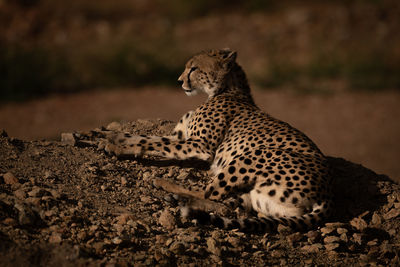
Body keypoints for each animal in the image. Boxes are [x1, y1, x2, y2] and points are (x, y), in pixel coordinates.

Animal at [104, 49, 332, 232]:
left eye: (193, 68)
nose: (179, 81)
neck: (224, 90)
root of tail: (326, 195)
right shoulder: (180, 137)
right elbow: (146, 137)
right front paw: (111, 137)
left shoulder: (199, 145)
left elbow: (152, 143)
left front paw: (115, 147)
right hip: (258, 196)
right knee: (230, 204)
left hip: (252, 156)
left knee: (211, 194)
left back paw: (168, 188)